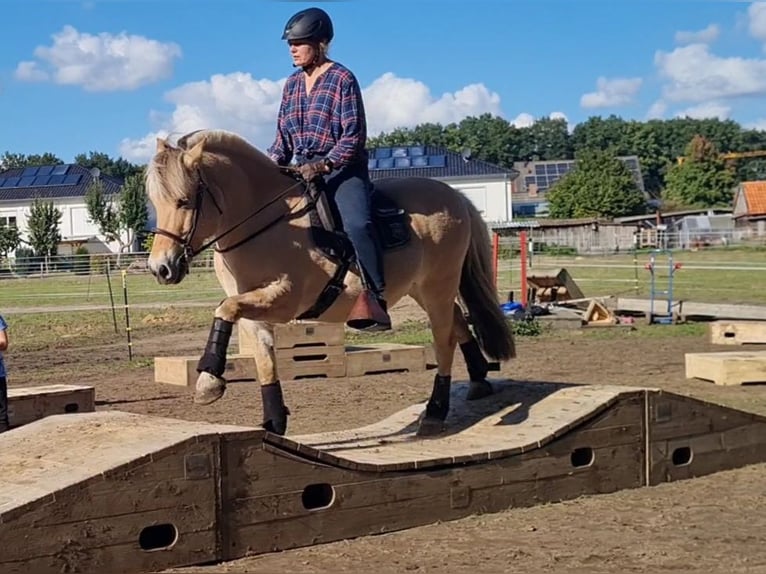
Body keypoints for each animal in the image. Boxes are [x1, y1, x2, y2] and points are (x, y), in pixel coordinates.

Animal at [145, 128, 516, 437]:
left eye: (184, 200)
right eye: (155, 202)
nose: (161, 268)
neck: (267, 223)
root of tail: (456, 197)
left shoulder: (285, 299)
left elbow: (224, 309)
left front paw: (208, 380)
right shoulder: (254, 311)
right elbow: (262, 357)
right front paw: (272, 420)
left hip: (438, 285)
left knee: (444, 340)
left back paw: (436, 411)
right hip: (423, 288)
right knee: (457, 321)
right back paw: (479, 378)